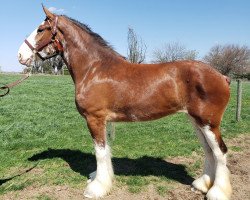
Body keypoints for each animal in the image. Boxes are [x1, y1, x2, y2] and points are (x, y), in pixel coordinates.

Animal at [17, 6, 232, 200]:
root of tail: (222, 76)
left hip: (208, 122)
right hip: (196, 121)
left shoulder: (94, 118)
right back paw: (201, 185)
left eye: (40, 29)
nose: (20, 55)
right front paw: (101, 179)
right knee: (209, 151)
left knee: (220, 152)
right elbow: (106, 151)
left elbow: (100, 152)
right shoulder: (104, 120)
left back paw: (217, 192)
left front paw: (96, 188)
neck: (94, 68)